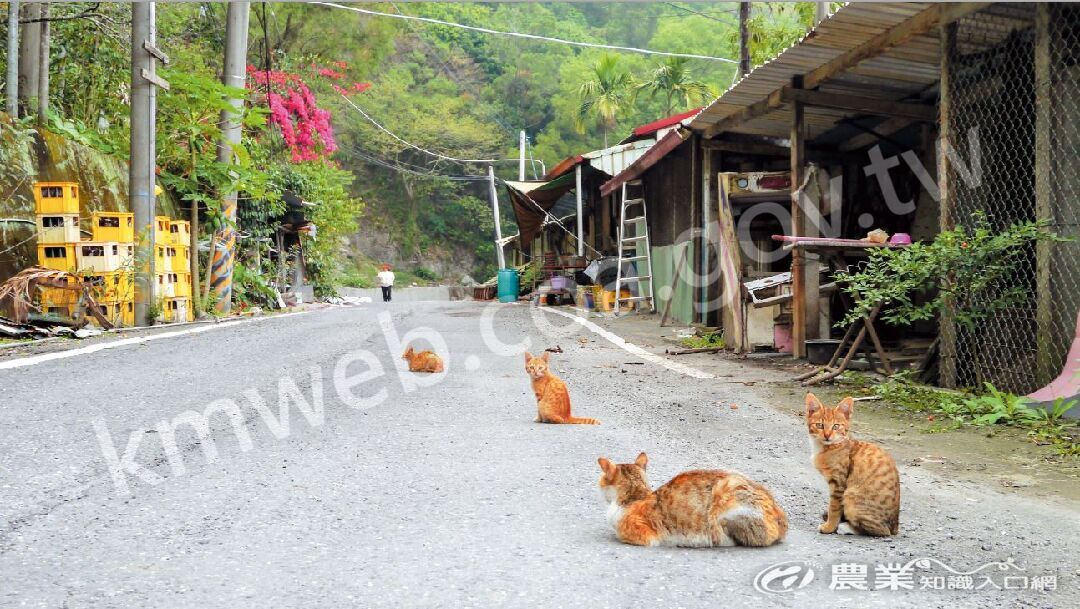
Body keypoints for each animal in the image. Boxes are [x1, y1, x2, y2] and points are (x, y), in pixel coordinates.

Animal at [807, 393, 898, 535]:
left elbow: (834, 508)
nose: (827, 435)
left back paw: (846, 527)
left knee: (881, 531)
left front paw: (829, 527)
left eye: (836, 426)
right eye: (820, 425)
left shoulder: (839, 484)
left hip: (851, 496)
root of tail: (895, 527)